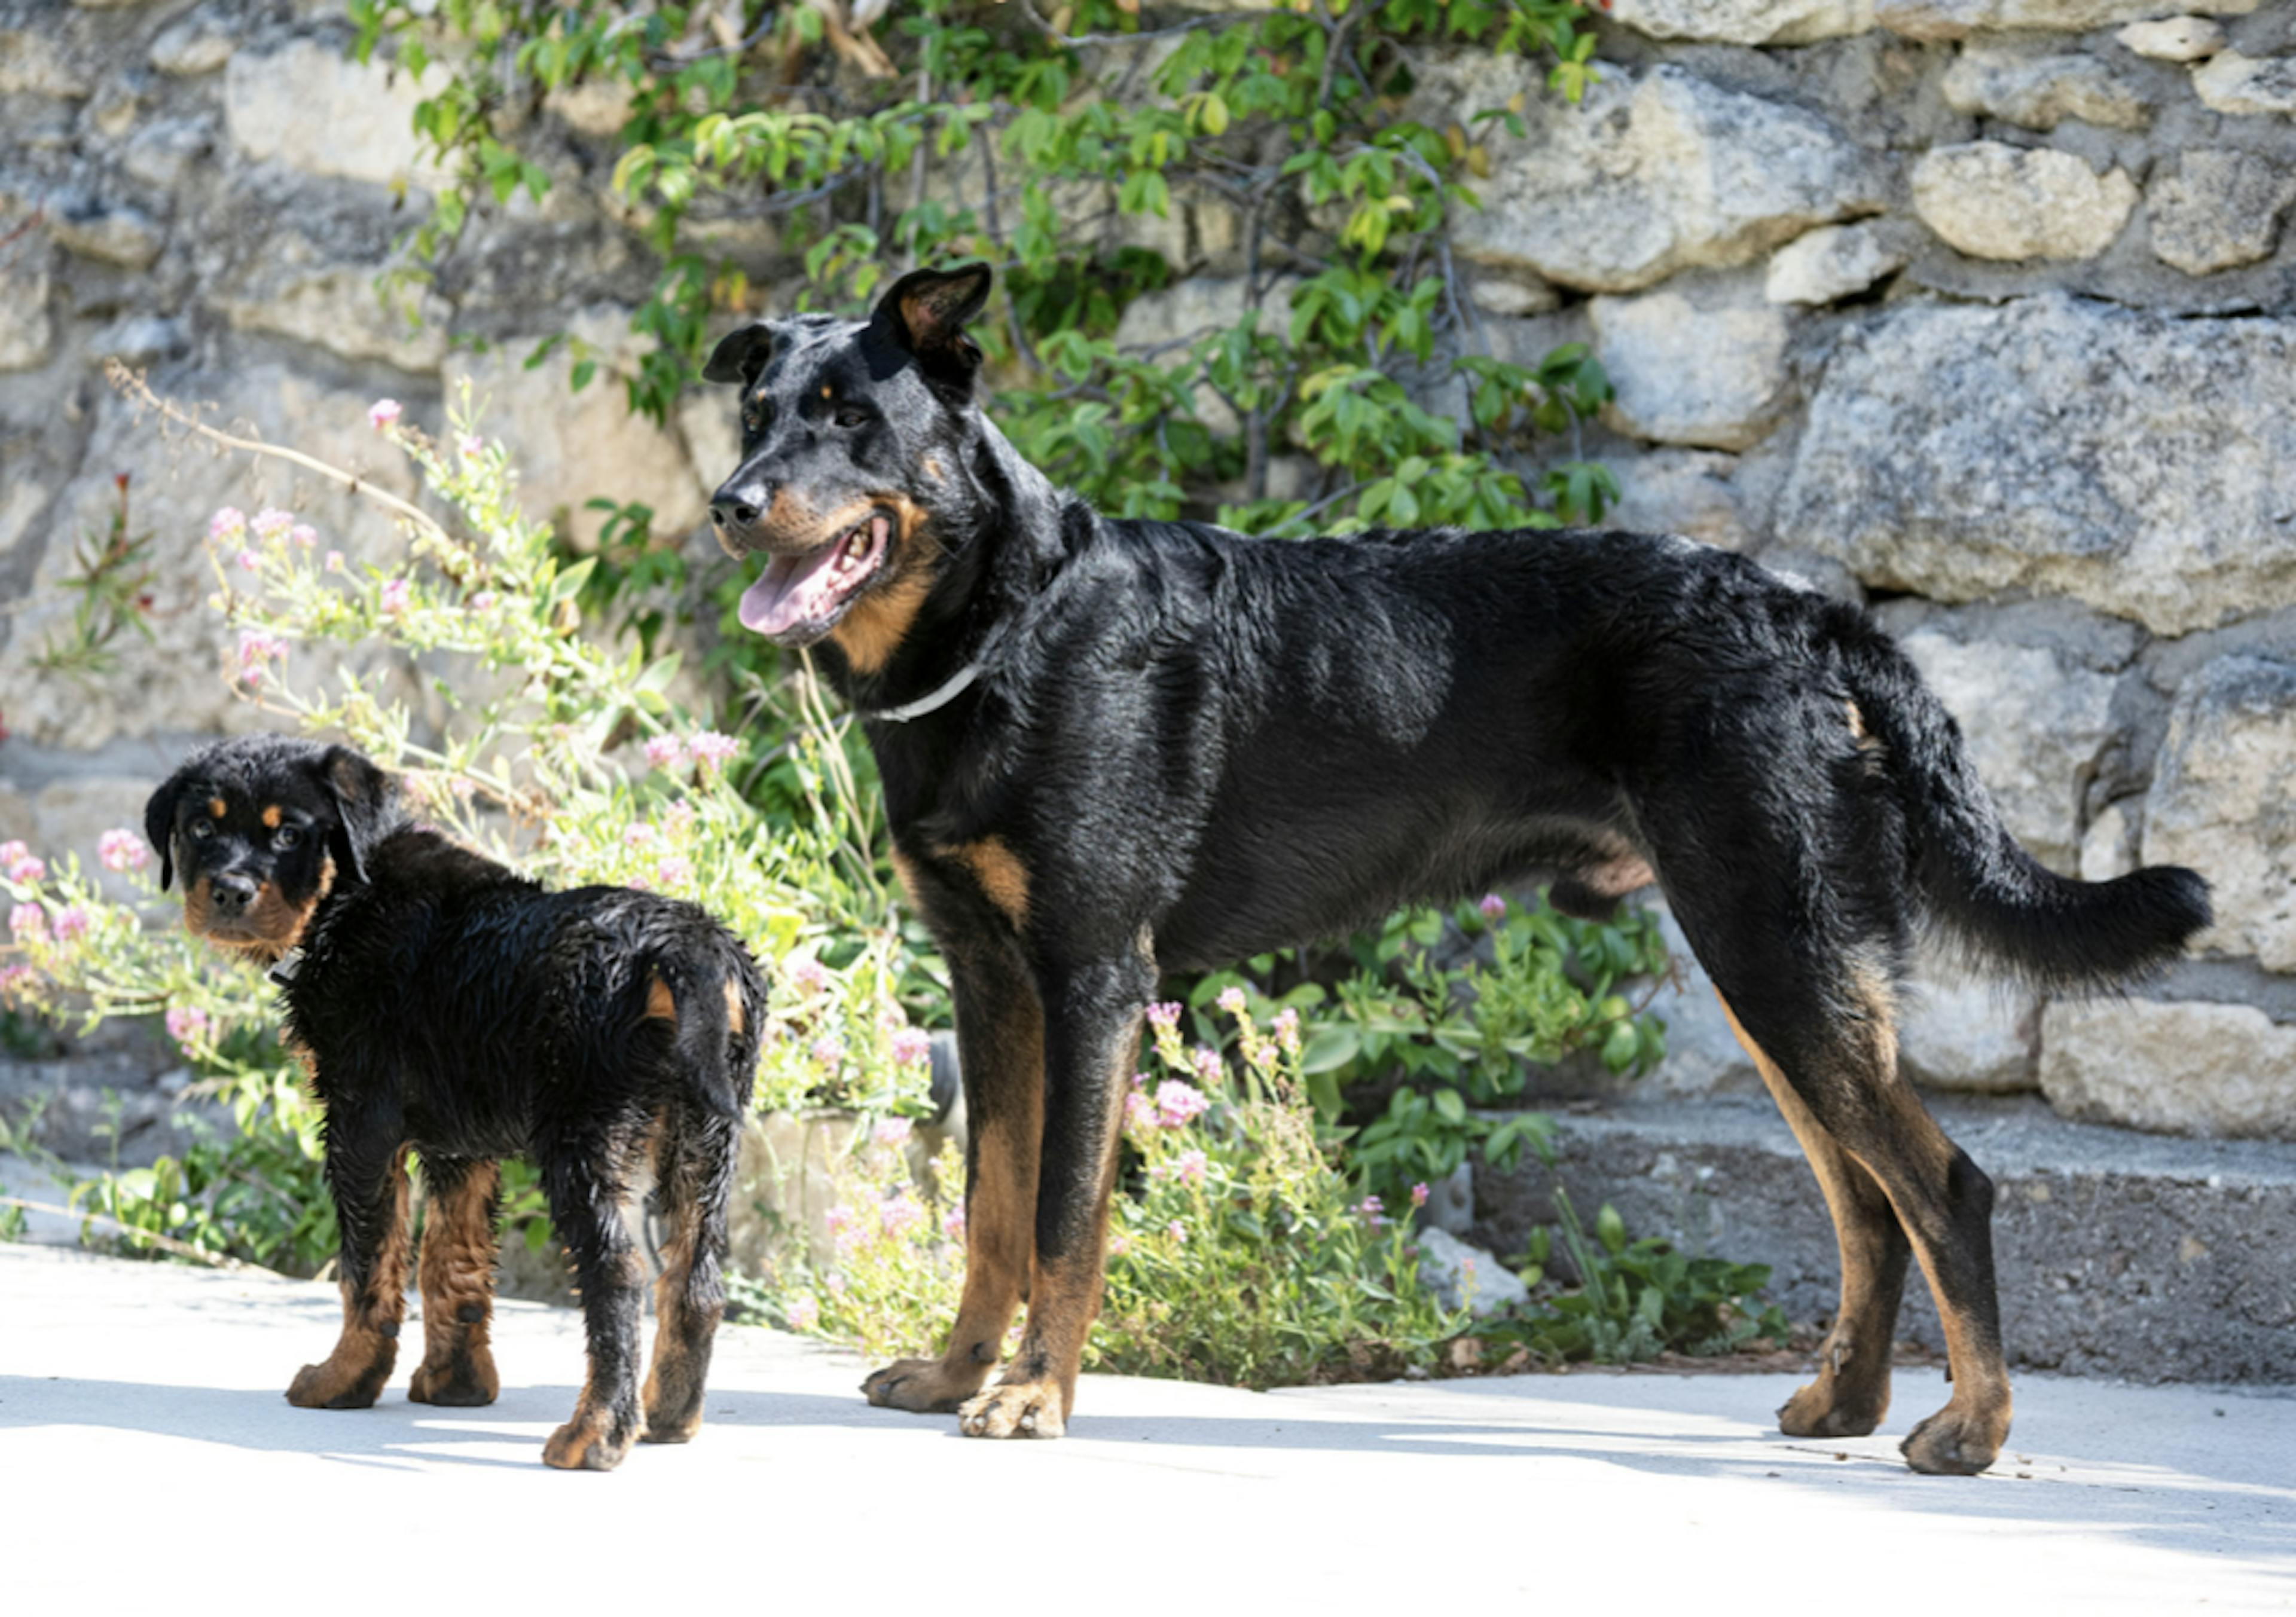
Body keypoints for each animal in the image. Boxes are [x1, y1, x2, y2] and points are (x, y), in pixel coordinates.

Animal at [145, 739, 771, 1470]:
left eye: (291, 834)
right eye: (201, 828)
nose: (229, 892)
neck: (349, 899)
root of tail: (681, 944)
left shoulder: (361, 1120)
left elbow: (369, 1266)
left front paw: (343, 1379)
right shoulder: (459, 1142)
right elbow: (453, 1259)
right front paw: (456, 1385)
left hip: (584, 1137)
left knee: (618, 1273)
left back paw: (595, 1433)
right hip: (705, 1136)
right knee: (694, 1280)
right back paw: (667, 1417)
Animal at [693, 265, 2204, 1479]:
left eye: (844, 414)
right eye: (755, 410)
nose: (727, 505)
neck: (1005, 627)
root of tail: (1810, 614)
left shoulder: (1092, 979)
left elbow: (1061, 1217)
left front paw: (1032, 1398)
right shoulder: (990, 978)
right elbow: (991, 1208)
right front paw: (959, 1368)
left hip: (1774, 949)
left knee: (1940, 1186)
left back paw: (1971, 1429)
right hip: (1770, 965)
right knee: (1866, 1200)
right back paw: (1845, 1400)